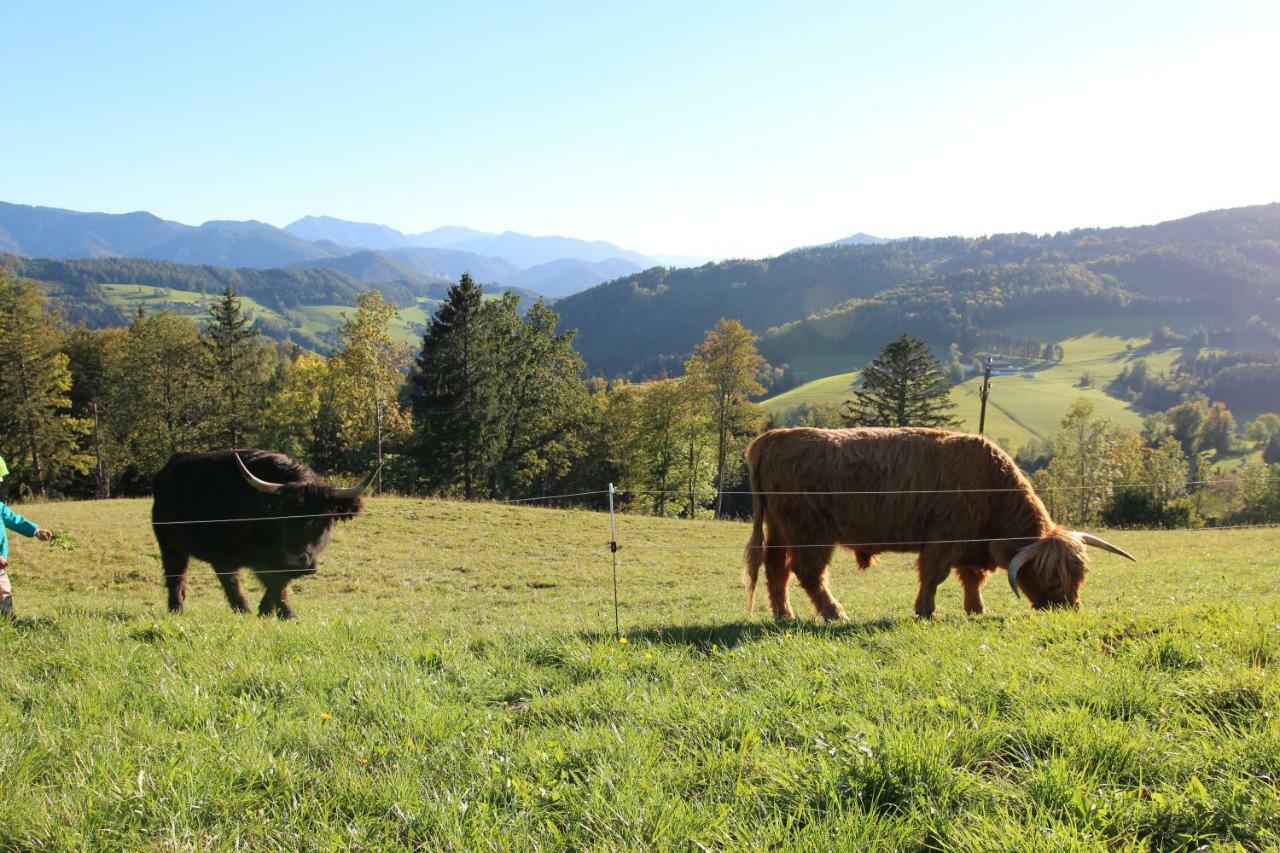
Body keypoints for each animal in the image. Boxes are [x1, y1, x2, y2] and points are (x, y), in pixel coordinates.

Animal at [152, 448, 373, 614]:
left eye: (321, 520)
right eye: (280, 516)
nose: (295, 558)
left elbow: (280, 582)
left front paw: (266, 610)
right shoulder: (262, 559)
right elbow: (275, 583)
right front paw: (287, 614)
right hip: (170, 545)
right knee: (178, 576)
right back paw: (179, 608)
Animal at [747, 425, 1136, 617]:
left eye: (1079, 576)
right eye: (1052, 578)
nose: (1067, 609)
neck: (992, 490)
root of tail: (771, 438)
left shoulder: (971, 544)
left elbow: (972, 578)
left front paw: (976, 609)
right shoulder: (942, 539)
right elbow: (933, 576)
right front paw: (925, 611)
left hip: (778, 527)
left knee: (775, 568)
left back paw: (784, 614)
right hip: (810, 530)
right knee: (807, 572)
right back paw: (834, 613)